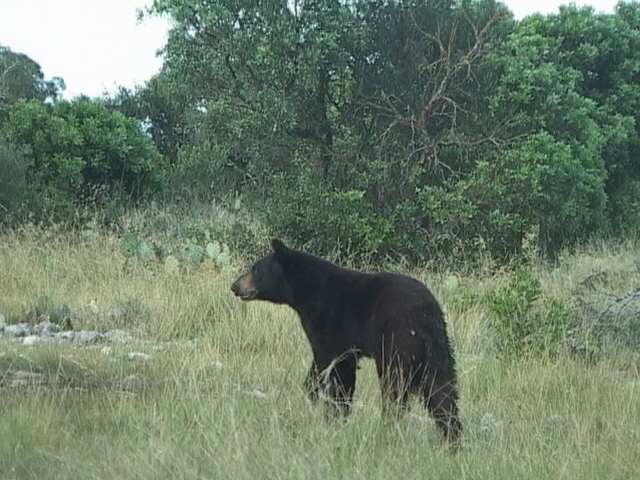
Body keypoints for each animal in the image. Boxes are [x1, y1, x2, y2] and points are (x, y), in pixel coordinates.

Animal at [230, 239, 460, 442]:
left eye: (255, 269)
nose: (234, 286)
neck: (307, 290)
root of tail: (425, 314)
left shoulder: (329, 324)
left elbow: (331, 367)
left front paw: (330, 410)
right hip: (439, 349)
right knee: (442, 391)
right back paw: (451, 437)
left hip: (398, 341)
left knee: (394, 385)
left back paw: (388, 424)